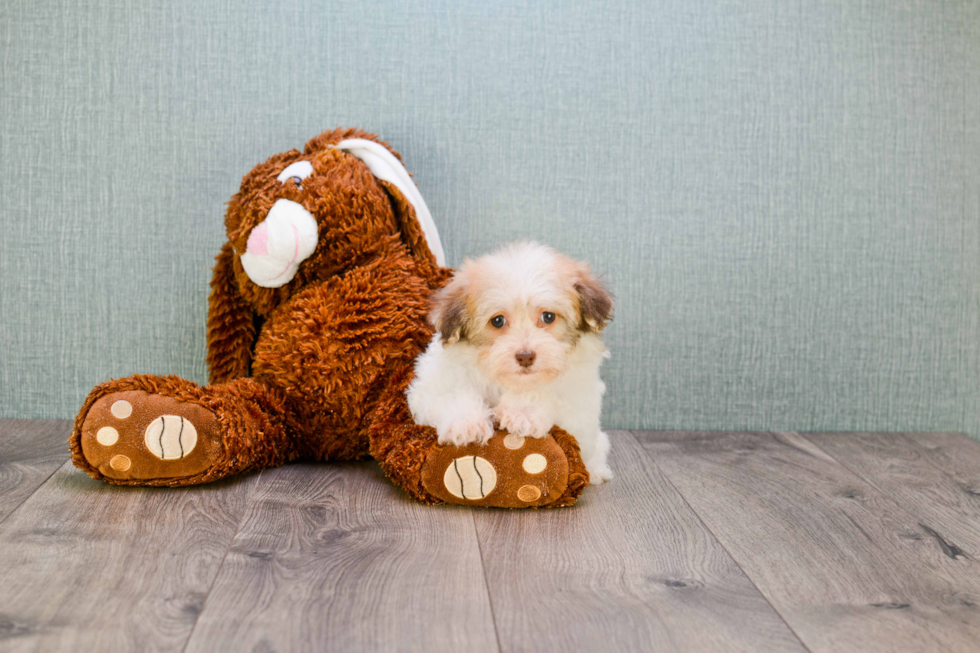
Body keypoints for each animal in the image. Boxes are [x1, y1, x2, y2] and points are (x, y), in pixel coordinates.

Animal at [406, 242, 612, 482]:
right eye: (497, 321)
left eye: (548, 317)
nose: (525, 356)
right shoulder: (429, 387)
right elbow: (447, 395)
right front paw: (466, 423)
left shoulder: (579, 403)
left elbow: (551, 395)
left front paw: (523, 412)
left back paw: (597, 471)